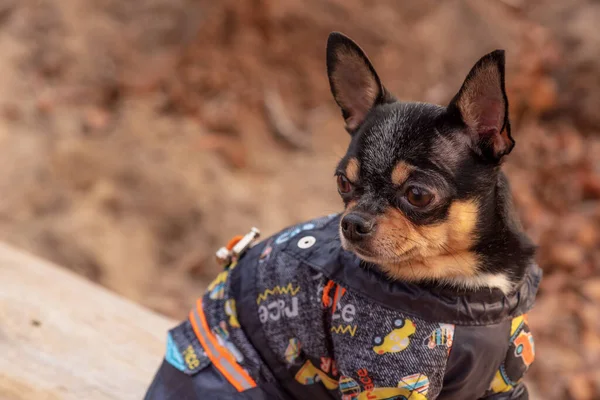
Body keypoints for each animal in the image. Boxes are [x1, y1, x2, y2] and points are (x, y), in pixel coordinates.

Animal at [146, 32, 544, 400]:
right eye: (343, 182)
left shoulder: (503, 383)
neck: (466, 285)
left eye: (418, 194)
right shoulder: (390, 386)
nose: (351, 223)